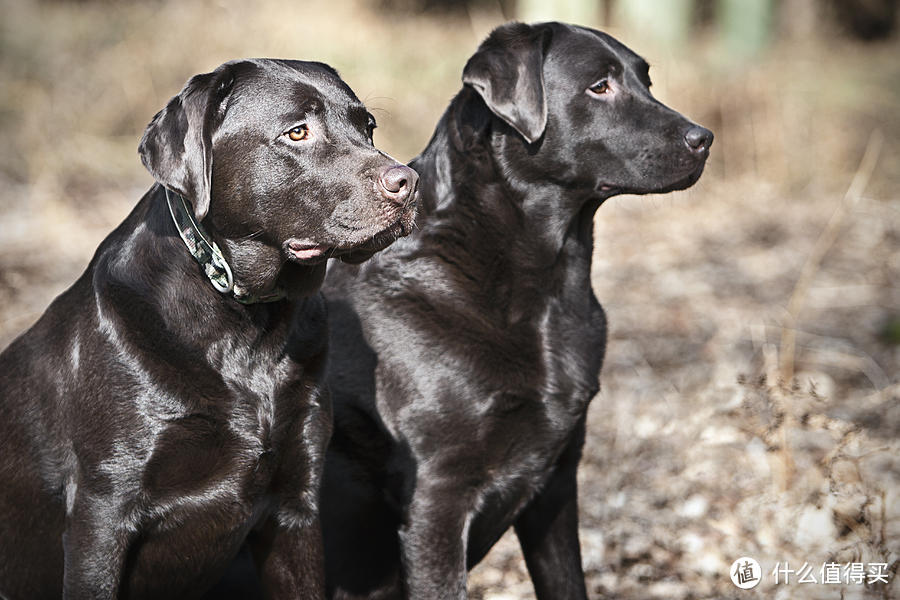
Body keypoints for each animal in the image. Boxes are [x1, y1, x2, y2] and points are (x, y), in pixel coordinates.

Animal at [0, 58, 416, 600]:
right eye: (297, 132)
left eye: (368, 128)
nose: (409, 181)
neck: (247, 331)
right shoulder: (101, 513)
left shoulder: (296, 506)